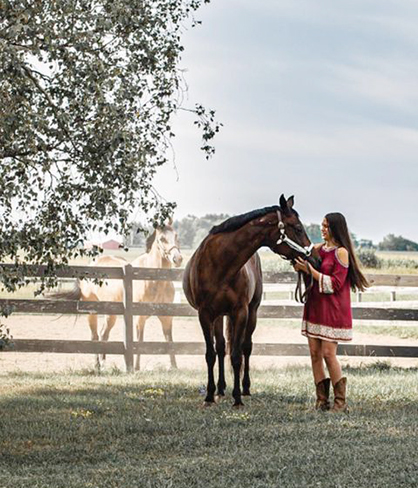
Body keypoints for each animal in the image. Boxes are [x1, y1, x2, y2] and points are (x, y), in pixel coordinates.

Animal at [55, 224, 181, 370]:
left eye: (176, 235)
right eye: (162, 239)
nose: (178, 259)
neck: (153, 279)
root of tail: (89, 266)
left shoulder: (166, 316)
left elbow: (169, 339)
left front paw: (174, 367)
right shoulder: (139, 317)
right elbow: (140, 340)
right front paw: (136, 368)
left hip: (111, 314)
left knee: (104, 334)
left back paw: (103, 364)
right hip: (92, 311)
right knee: (95, 336)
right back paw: (97, 365)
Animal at [181, 194, 312, 408]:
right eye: (298, 228)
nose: (312, 255)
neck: (220, 263)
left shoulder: (240, 311)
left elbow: (237, 355)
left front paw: (237, 398)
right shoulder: (205, 314)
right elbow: (211, 354)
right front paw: (209, 396)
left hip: (252, 312)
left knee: (246, 347)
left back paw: (245, 388)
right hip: (219, 316)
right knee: (221, 348)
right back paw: (220, 389)